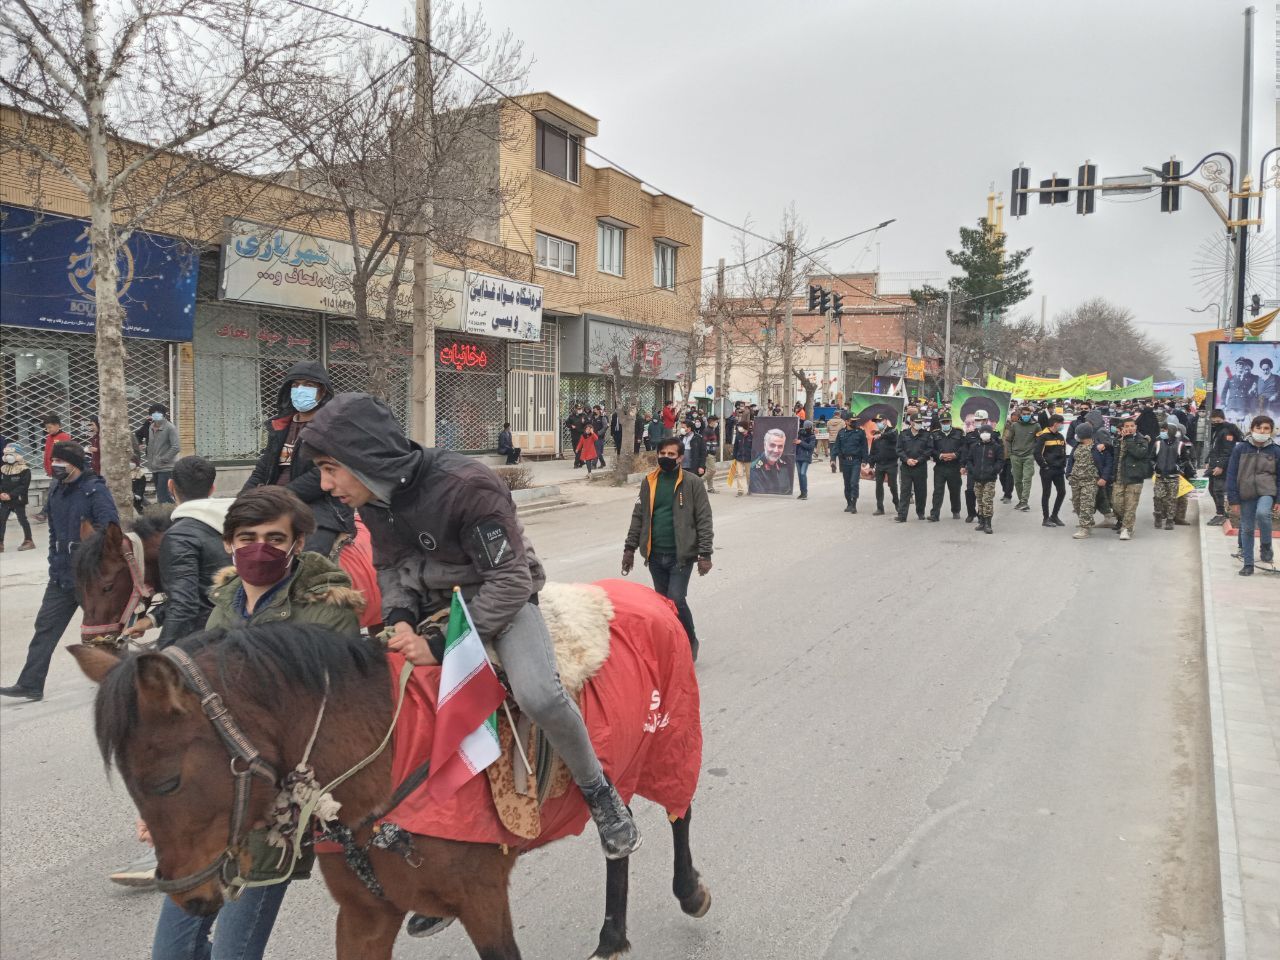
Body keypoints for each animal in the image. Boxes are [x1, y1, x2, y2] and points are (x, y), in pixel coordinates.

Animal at [72, 601, 711, 957]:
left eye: (166, 783)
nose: (189, 899)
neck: (392, 761)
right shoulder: (364, 917)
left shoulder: (484, 903)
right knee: (618, 847)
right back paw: (612, 935)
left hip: (671, 743)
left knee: (678, 814)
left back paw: (689, 892)